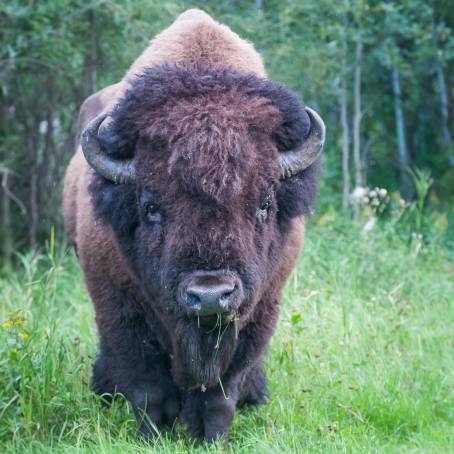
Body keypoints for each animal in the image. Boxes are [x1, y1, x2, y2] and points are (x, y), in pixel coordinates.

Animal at [63, 9, 324, 444]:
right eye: (150, 207)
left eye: (264, 204)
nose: (210, 295)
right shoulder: (117, 303)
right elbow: (147, 386)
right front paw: (149, 437)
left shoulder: (259, 311)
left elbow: (221, 393)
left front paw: (212, 438)